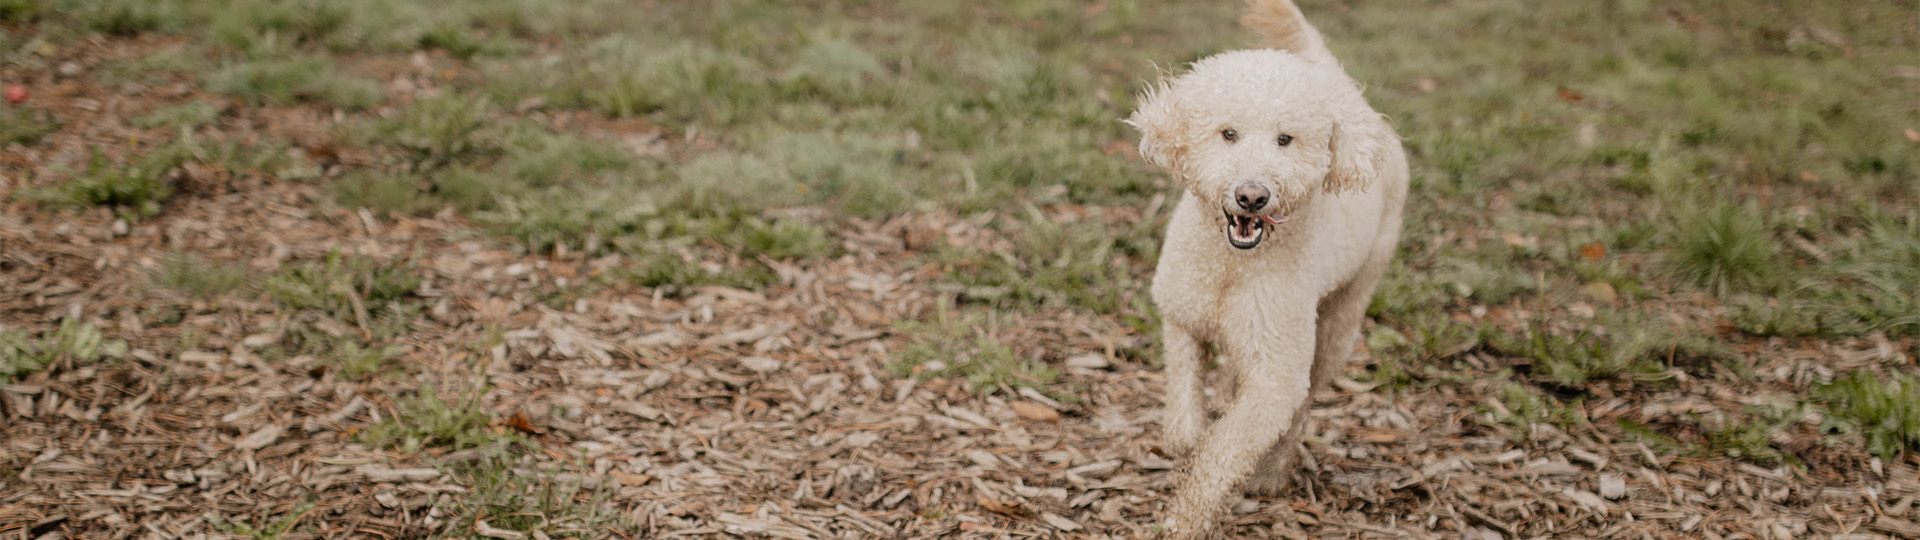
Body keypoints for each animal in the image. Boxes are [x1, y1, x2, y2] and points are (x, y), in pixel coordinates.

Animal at [1121, 0, 1413, 534]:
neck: (1231, 265)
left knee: (1306, 399)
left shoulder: (1276, 372)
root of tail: (1343, 89)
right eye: (1228, 133)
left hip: (1343, 314)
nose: (1252, 195)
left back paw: (1273, 473)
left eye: (1285, 139)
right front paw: (1187, 439)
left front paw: (1185, 521)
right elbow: (1184, 406)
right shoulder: (1182, 316)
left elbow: (1226, 451)